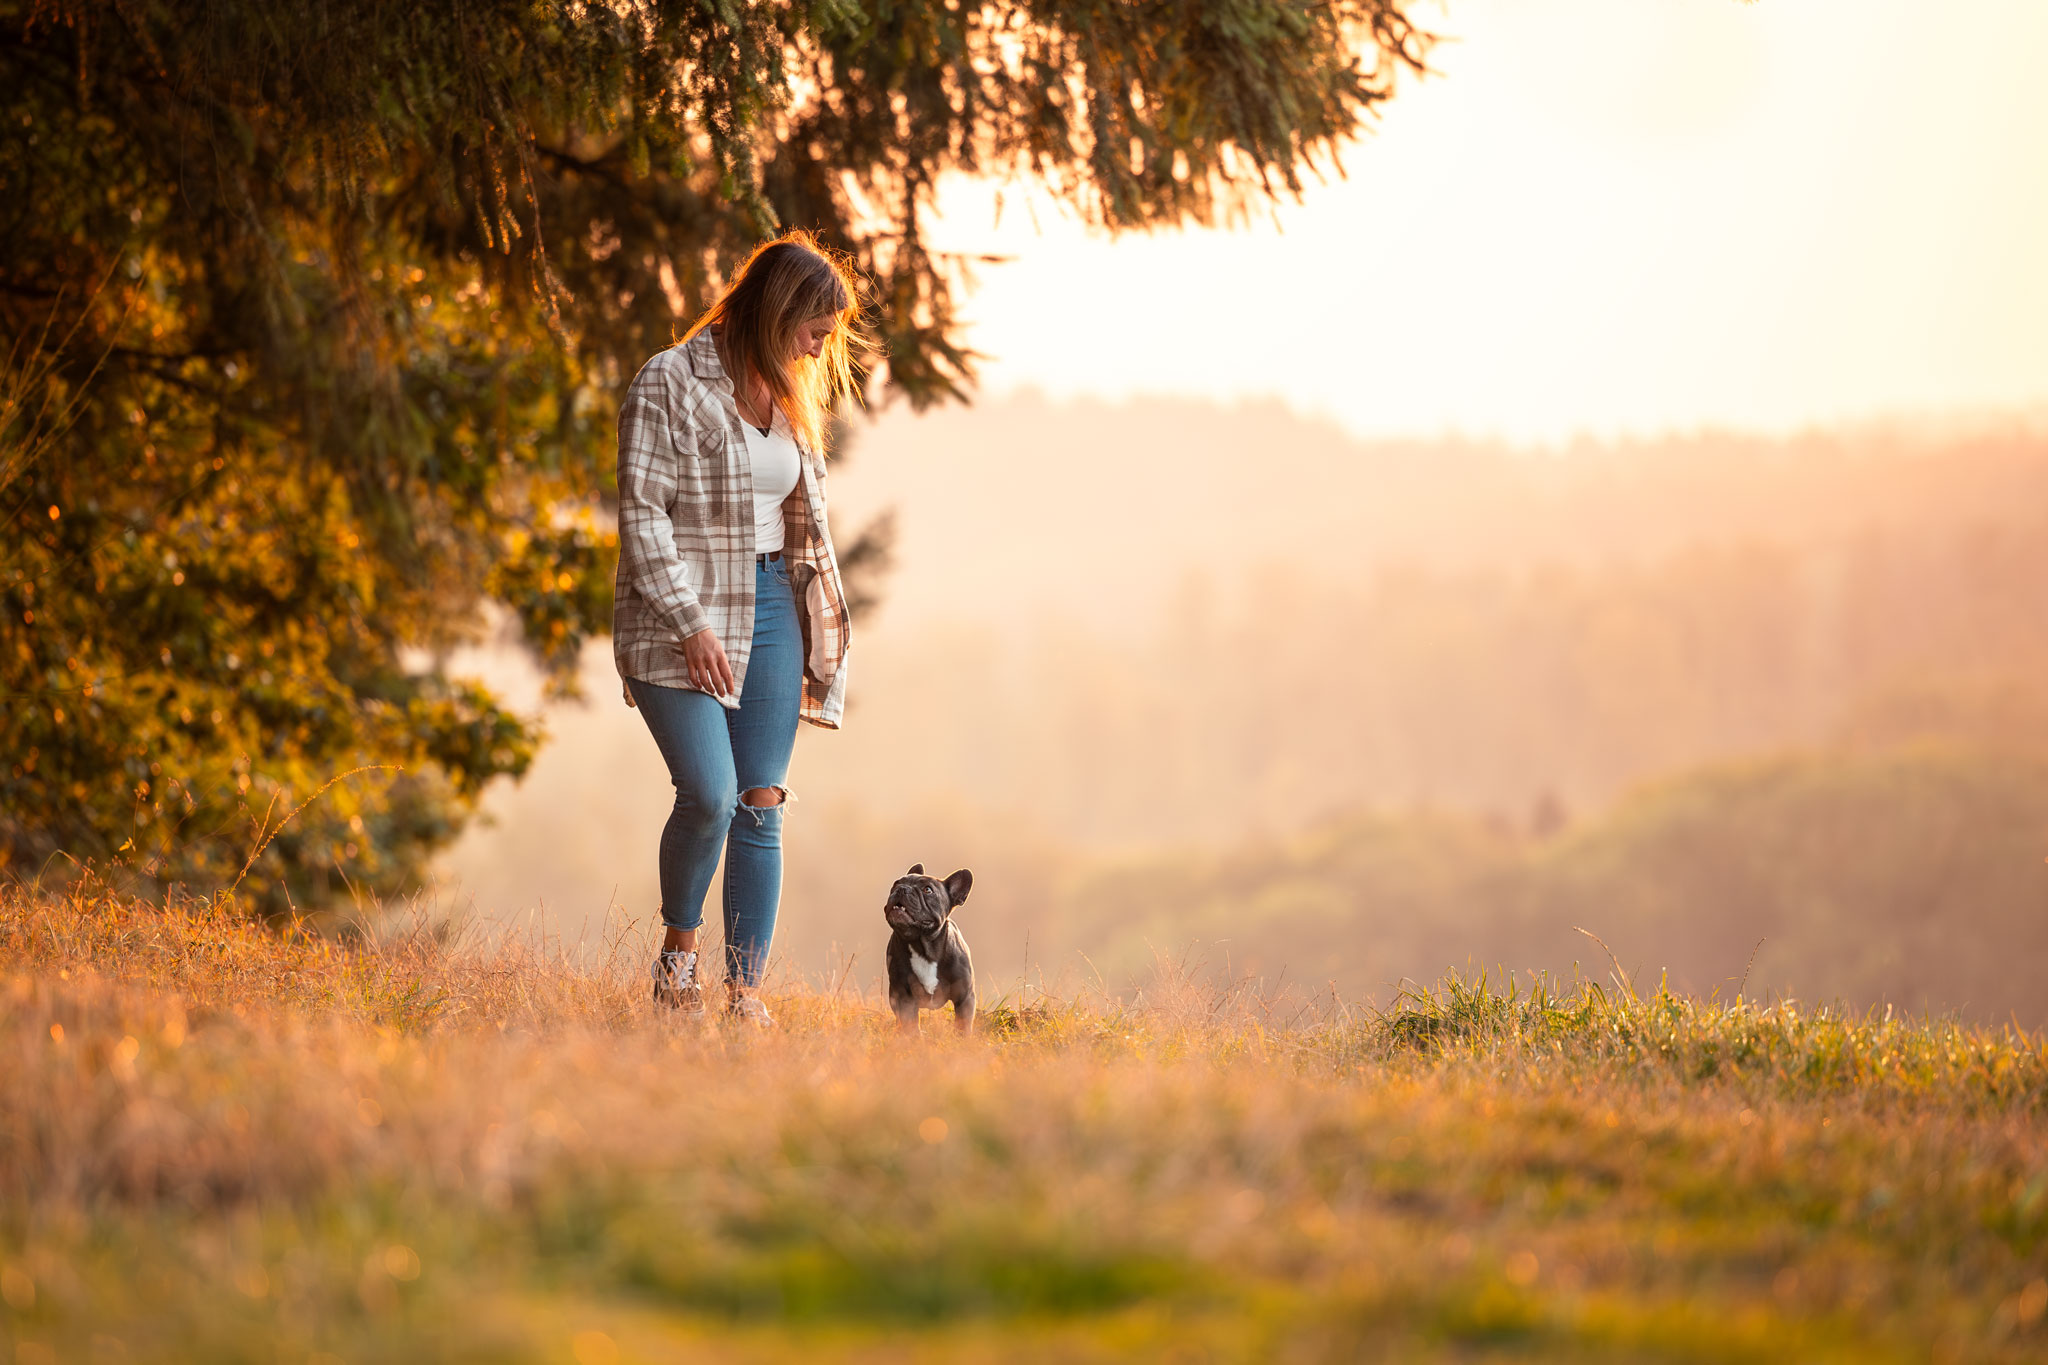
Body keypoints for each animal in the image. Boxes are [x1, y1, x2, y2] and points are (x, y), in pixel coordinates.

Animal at [880, 863, 974, 1035]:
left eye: (927, 890)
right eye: (896, 884)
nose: (902, 888)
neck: (923, 947)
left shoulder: (964, 997)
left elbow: (963, 1025)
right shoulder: (904, 997)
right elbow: (910, 1024)